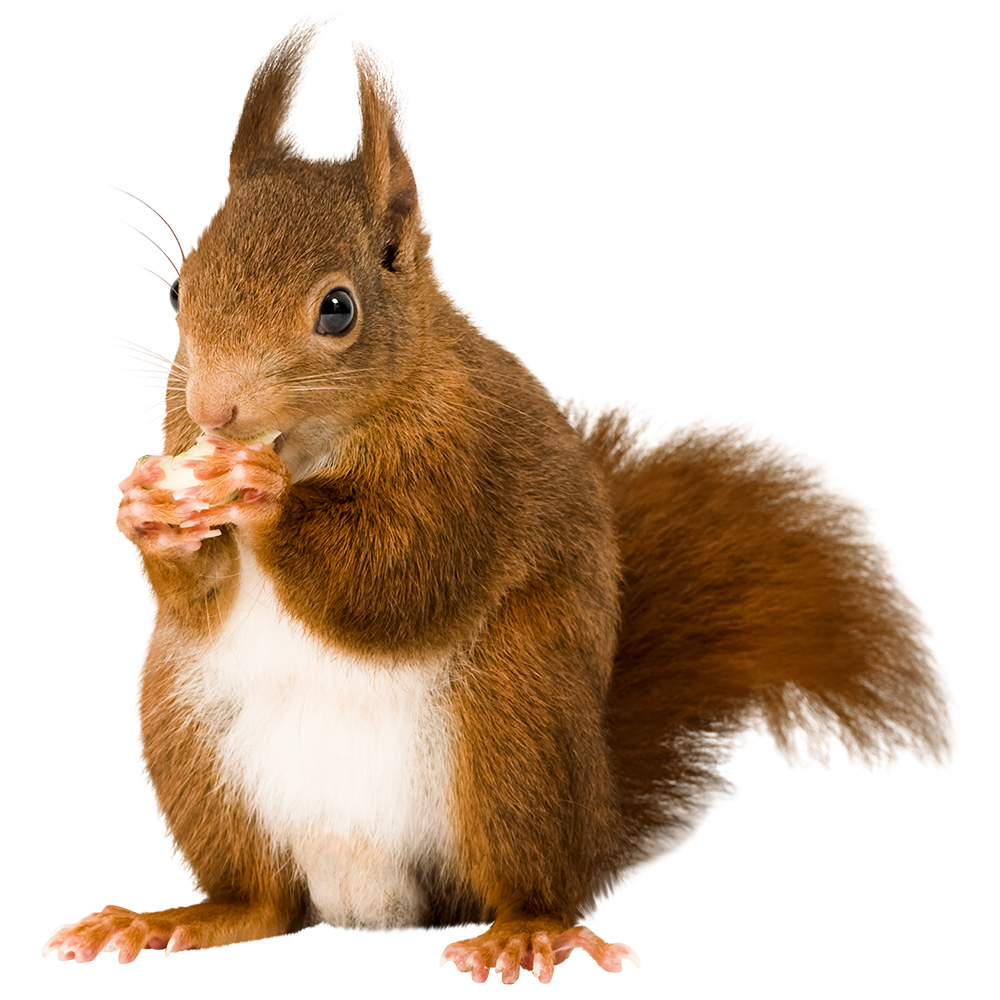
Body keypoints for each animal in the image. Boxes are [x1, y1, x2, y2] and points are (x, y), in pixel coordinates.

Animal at [44, 28, 947, 983]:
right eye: (177, 291)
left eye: (338, 309)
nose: (215, 412)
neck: (316, 443)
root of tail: (369, 898)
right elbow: (198, 596)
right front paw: (148, 513)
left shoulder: (470, 464)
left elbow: (400, 572)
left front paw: (267, 499)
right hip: (190, 739)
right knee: (265, 905)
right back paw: (169, 919)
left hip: (514, 724)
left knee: (527, 878)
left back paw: (526, 931)